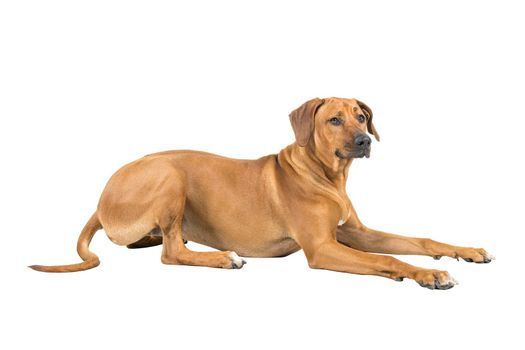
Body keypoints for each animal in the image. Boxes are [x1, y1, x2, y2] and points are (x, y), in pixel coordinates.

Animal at [29, 97, 492, 288]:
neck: (326, 176)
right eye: (335, 120)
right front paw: (426, 275)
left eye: (361, 117)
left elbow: (419, 240)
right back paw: (222, 257)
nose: (365, 141)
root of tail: (101, 197)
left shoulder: (354, 232)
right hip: (170, 175)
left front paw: (464, 251)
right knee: (172, 252)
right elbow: (389, 258)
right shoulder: (323, 248)